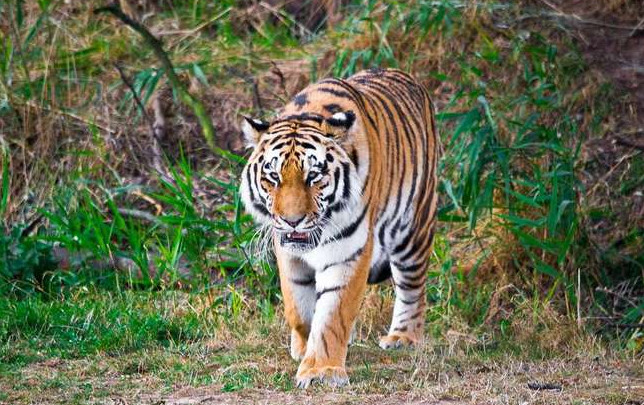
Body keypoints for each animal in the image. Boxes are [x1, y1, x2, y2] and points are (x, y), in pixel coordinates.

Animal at [239, 68, 440, 386]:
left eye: (313, 176)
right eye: (273, 176)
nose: (292, 220)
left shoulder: (348, 252)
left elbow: (333, 313)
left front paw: (321, 369)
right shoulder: (287, 252)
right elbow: (297, 307)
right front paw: (303, 346)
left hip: (414, 229)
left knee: (412, 288)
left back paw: (403, 337)